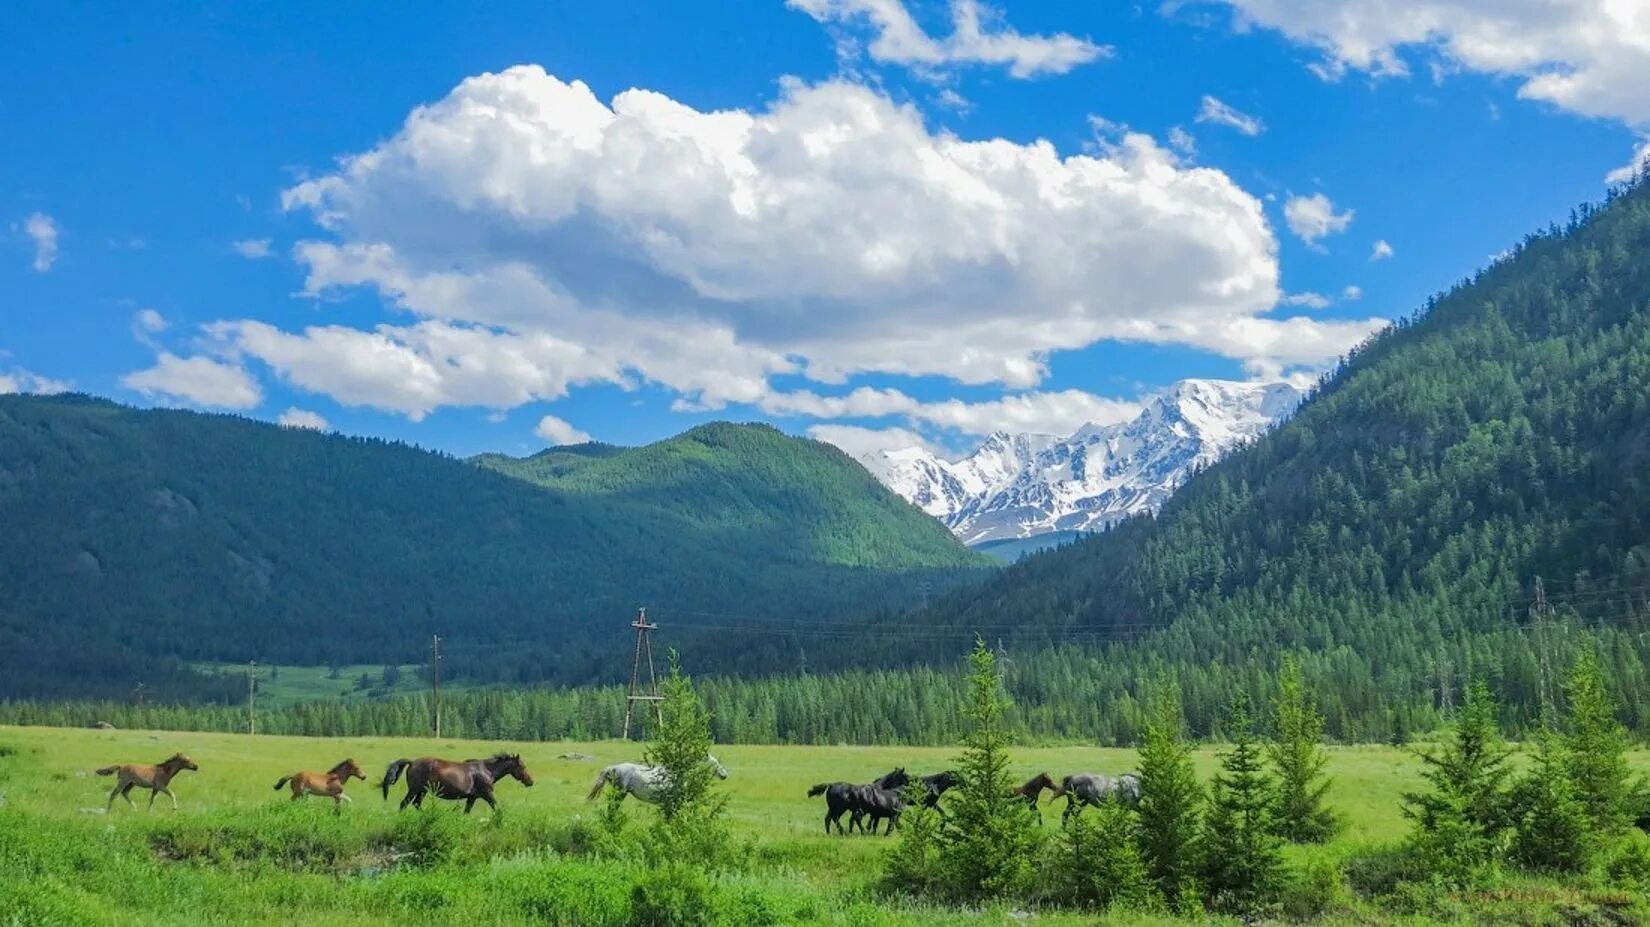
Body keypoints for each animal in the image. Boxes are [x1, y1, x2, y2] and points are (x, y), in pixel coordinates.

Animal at [379, 752, 534, 808]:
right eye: (522, 766)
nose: (530, 781)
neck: (487, 771)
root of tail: (412, 762)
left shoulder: (472, 797)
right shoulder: (487, 794)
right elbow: (496, 807)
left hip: (422, 791)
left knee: (416, 804)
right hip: (415, 790)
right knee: (404, 804)